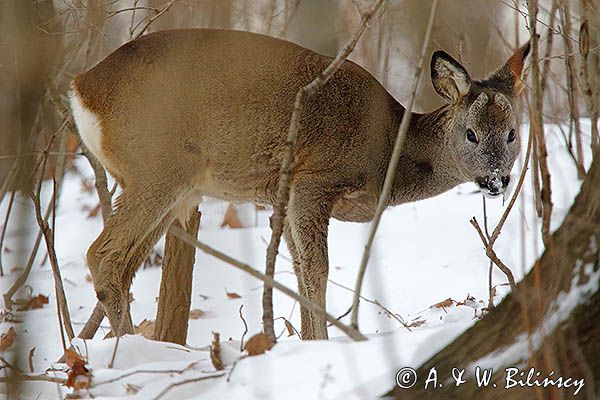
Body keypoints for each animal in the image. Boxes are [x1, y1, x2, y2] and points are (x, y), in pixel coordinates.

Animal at [70, 28, 528, 340]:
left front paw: (307, 342)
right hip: (159, 167)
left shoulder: (283, 193)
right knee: (102, 255)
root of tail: (80, 88)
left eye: (512, 134)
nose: (496, 179)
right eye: (470, 134)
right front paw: (323, 343)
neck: (387, 152)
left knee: (125, 263)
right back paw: (133, 348)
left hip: (173, 185)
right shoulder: (314, 179)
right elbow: (316, 268)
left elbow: (296, 268)